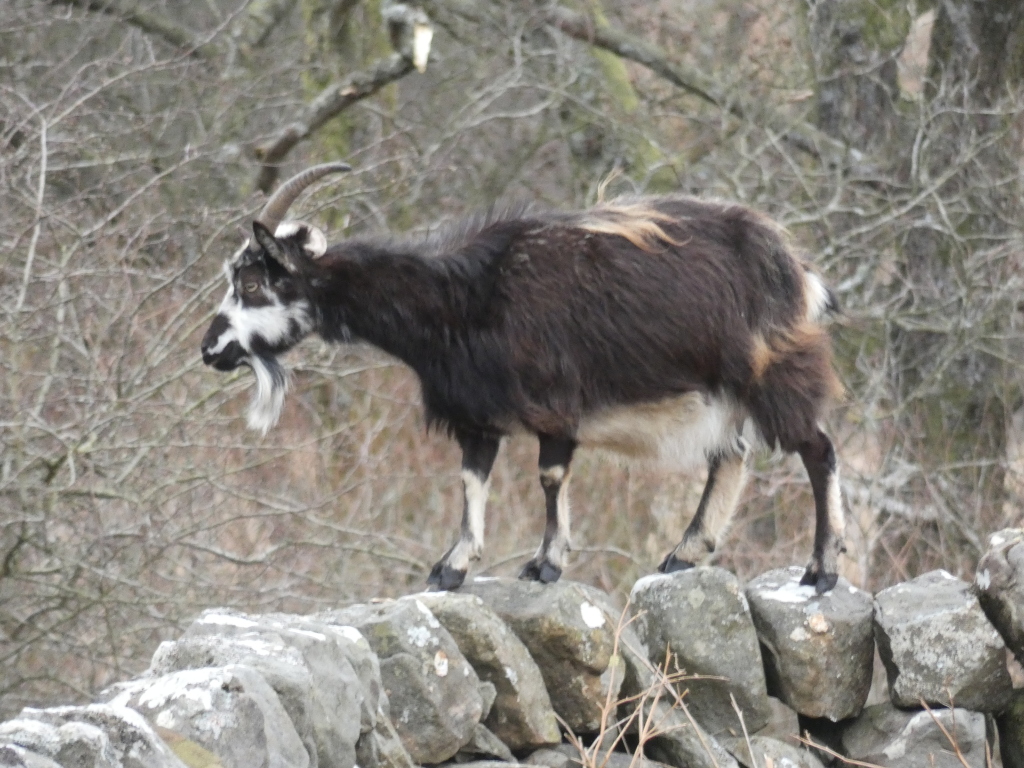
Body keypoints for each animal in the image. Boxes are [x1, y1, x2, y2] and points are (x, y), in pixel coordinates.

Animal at [201, 162, 846, 593]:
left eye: (252, 283)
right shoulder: (477, 416)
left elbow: (550, 478)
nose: (210, 349)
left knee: (817, 449)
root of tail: (795, 268)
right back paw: (683, 555)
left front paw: (545, 563)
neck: (463, 297)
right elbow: (471, 481)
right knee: (730, 458)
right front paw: (453, 566)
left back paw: (822, 569)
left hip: (774, 371)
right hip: (726, 392)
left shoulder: (554, 407)